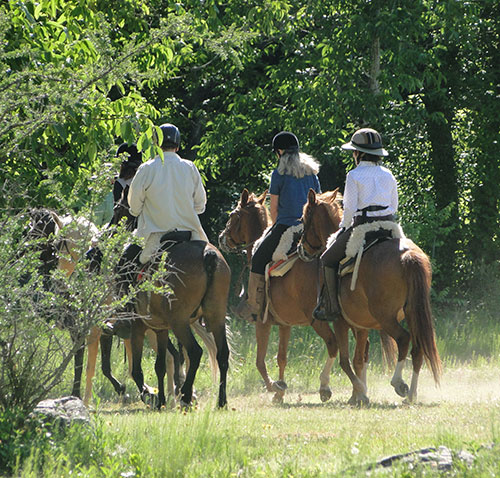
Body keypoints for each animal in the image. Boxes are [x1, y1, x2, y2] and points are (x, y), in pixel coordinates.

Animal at [113, 187, 230, 408]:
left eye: (117, 210)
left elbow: (137, 370)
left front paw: (150, 396)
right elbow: (160, 365)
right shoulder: (160, 328)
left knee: (195, 352)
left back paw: (185, 395)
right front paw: (160, 399)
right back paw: (220, 400)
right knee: (222, 355)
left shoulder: (139, 326)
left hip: (180, 321)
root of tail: (207, 255)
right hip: (215, 316)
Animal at [218, 189, 340, 402]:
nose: (221, 238)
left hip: (317, 320)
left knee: (333, 344)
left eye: (233, 215)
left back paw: (325, 386)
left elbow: (260, 361)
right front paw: (280, 392)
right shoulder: (285, 323)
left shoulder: (262, 322)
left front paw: (273, 386)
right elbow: (281, 357)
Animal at [296, 189, 442, 406]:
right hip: (413, 313)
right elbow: (360, 358)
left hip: (387, 317)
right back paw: (411, 395)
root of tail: (407, 255)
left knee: (404, 339)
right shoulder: (361, 325)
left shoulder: (340, 321)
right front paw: (356, 395)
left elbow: (345, 360)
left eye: (305, 219)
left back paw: (399, 384)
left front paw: (354, 391)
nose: (301, 249)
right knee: (418, 349)